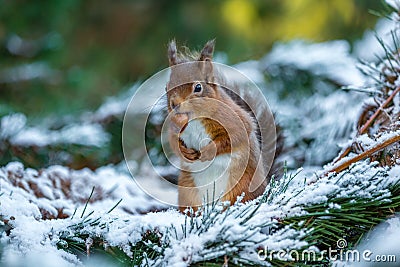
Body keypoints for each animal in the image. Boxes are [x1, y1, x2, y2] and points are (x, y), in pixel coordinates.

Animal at [165, 39, 278, 213]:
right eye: (166, 86)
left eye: (198, 87)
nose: (174, 104)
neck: (194, 118)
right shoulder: (174, 128)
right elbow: (173, 142)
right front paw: (185, 152)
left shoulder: (236, 120)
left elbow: (234, 137)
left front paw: (208, 151)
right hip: (187, 189)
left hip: (241, 185)